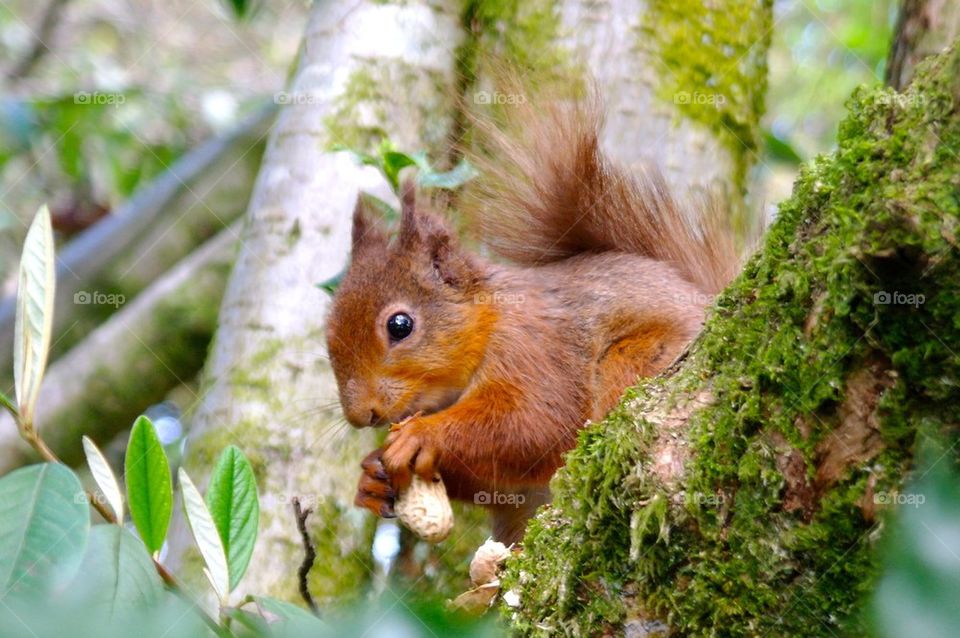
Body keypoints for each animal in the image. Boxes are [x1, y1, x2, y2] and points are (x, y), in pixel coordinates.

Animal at [326, 97, 740, 544]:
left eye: (400, 326)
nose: (360, 415)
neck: (489, 321)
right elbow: (499, 479)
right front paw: (371, 478)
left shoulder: (534, 348)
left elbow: (537, 424)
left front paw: (424, 434)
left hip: (636, 359)